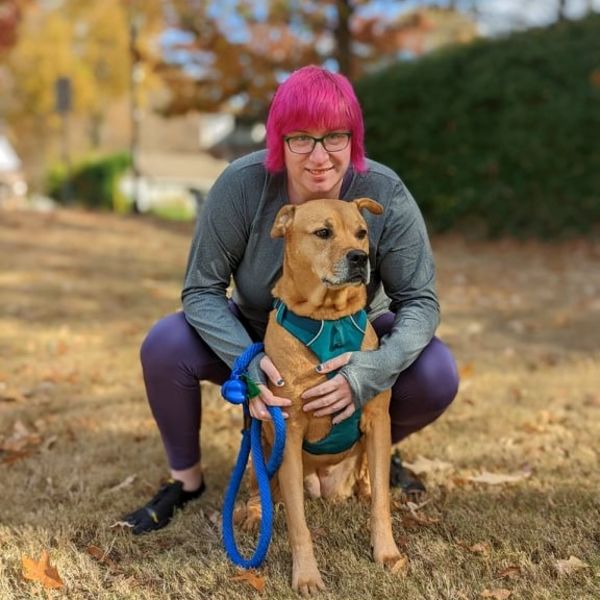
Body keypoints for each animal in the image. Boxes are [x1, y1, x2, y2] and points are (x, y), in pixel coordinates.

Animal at [241, 198, 400, 596]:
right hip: (259, 449)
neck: (329, 319)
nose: (360, 257)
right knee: (261, 490)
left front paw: (386, 552)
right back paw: (253, 514)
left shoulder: (379, 421)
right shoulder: (290, 430)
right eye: (323, 232)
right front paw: (307, 576)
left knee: (367, 479)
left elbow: (382, 504)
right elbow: (299, 525)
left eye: (361, 232)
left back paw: (361, 491)